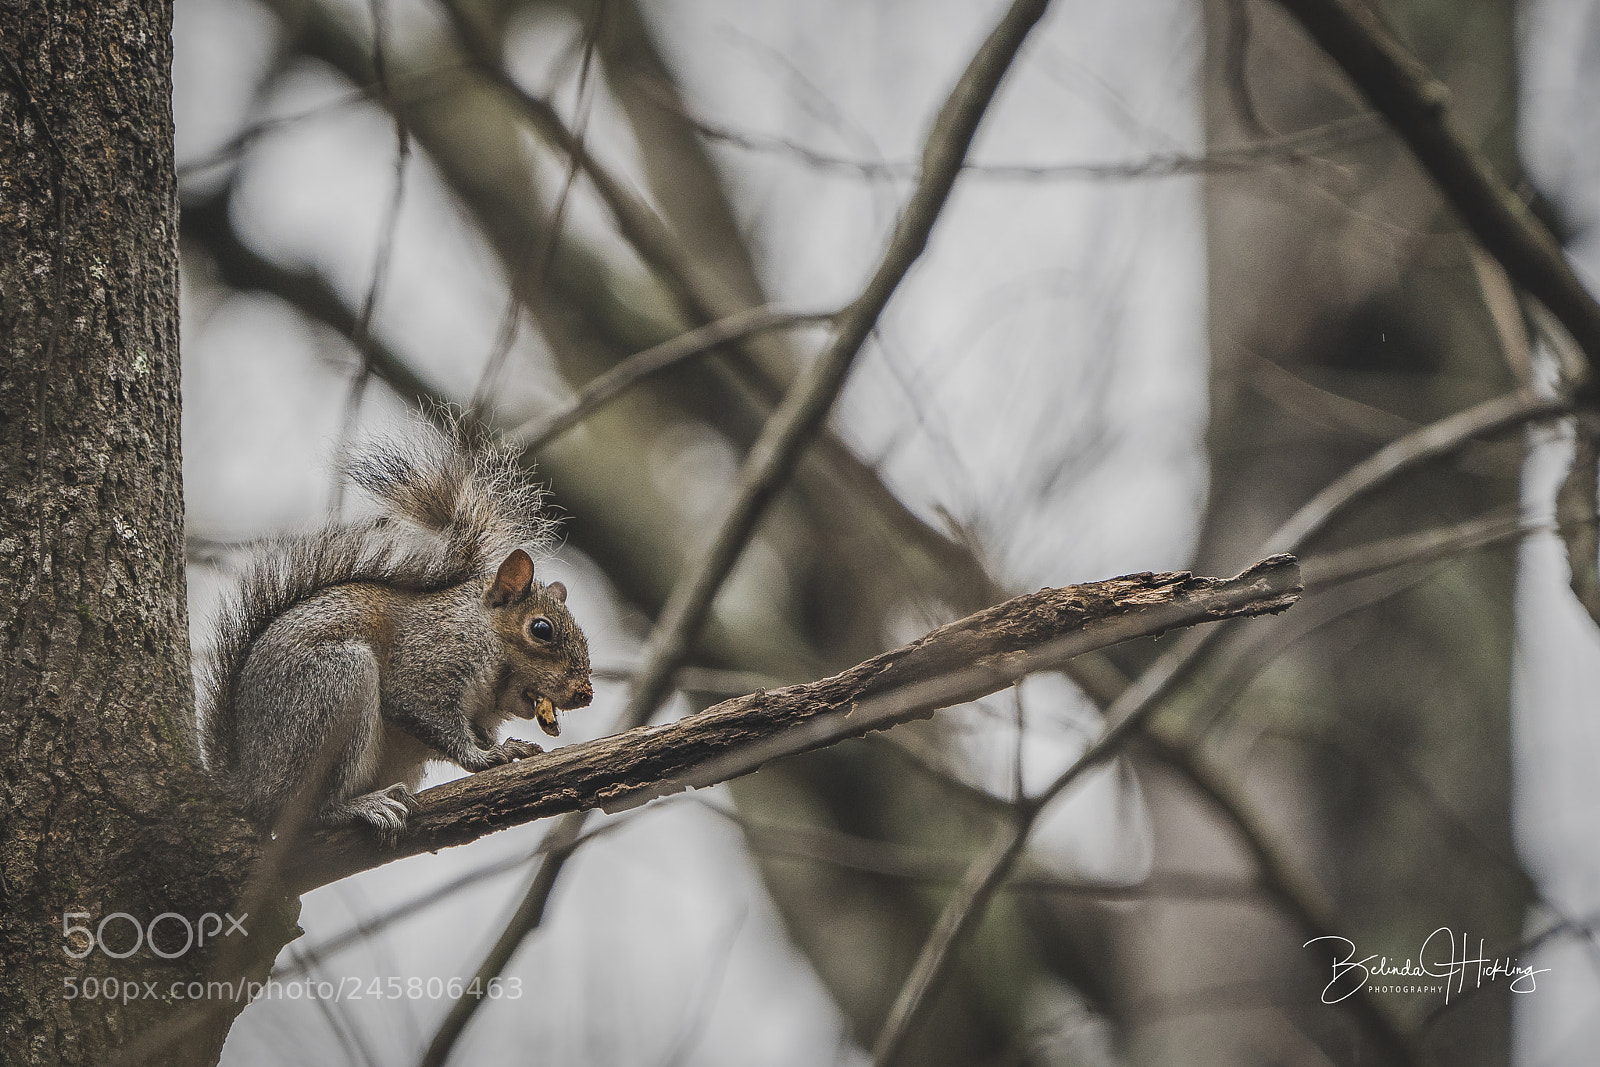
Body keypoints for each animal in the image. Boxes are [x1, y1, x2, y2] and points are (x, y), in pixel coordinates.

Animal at [198, 418, 593, 842]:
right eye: (541, 629)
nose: (585, 694)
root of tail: (251, 786)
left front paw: (507, 746)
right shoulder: (428, 661)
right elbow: (426, 714)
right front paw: (483, 755)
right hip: (332, 690)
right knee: (309, 812)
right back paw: (360, 806)